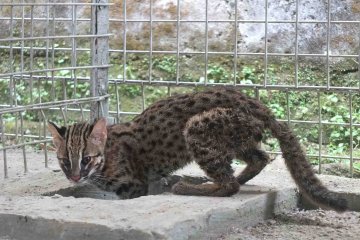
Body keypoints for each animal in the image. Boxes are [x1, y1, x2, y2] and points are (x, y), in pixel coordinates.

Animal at [49, 87, 348, 212]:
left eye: (86, 159)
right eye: (64, 161)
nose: (74, 177)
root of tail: (260, 106)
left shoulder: (134, 185)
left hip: (198, 128)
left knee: (229, 185)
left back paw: (192, 187)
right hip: (237, 140)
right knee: (260, 158)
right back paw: (235, 178)